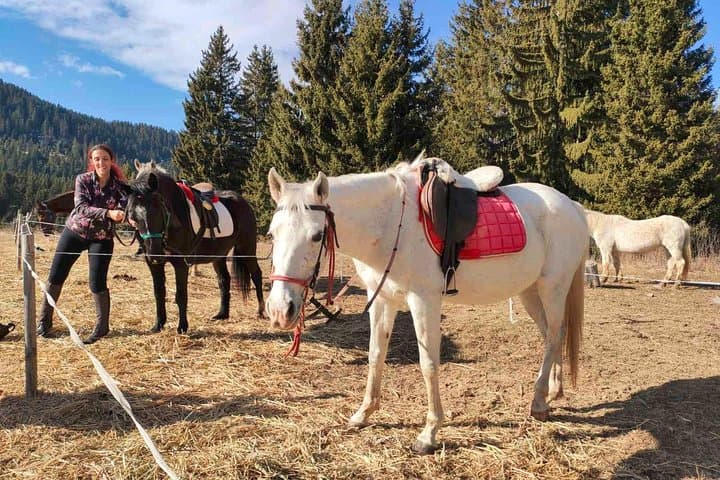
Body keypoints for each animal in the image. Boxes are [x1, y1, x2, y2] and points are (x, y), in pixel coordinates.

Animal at [124, 161, 264, 333]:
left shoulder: (181, 263)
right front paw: (158, 325)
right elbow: (159, 292)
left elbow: (181, 295)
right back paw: (222, 314)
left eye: (157, 210)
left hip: (247, 249)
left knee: (256, 275)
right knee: (224, 279)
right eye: (133, 216)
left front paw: (182, 327)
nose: (155, 253)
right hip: (218, 256)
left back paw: (261, 310)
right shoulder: (153, 264)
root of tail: (244, 202)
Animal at [265, 155, 588, 454]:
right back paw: (552, 393)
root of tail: (572, 206)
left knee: (554, 335)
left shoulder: (424, 301)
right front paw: (364, 413)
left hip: (553, 288)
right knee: (552, 335)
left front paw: (429, 433)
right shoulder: (382, 300)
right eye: (271, 233)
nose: (280, 310)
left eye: (316, 235)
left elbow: (429, 364)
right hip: (530, 292)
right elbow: (375, 354)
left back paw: (538, 402)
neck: (390, 224)